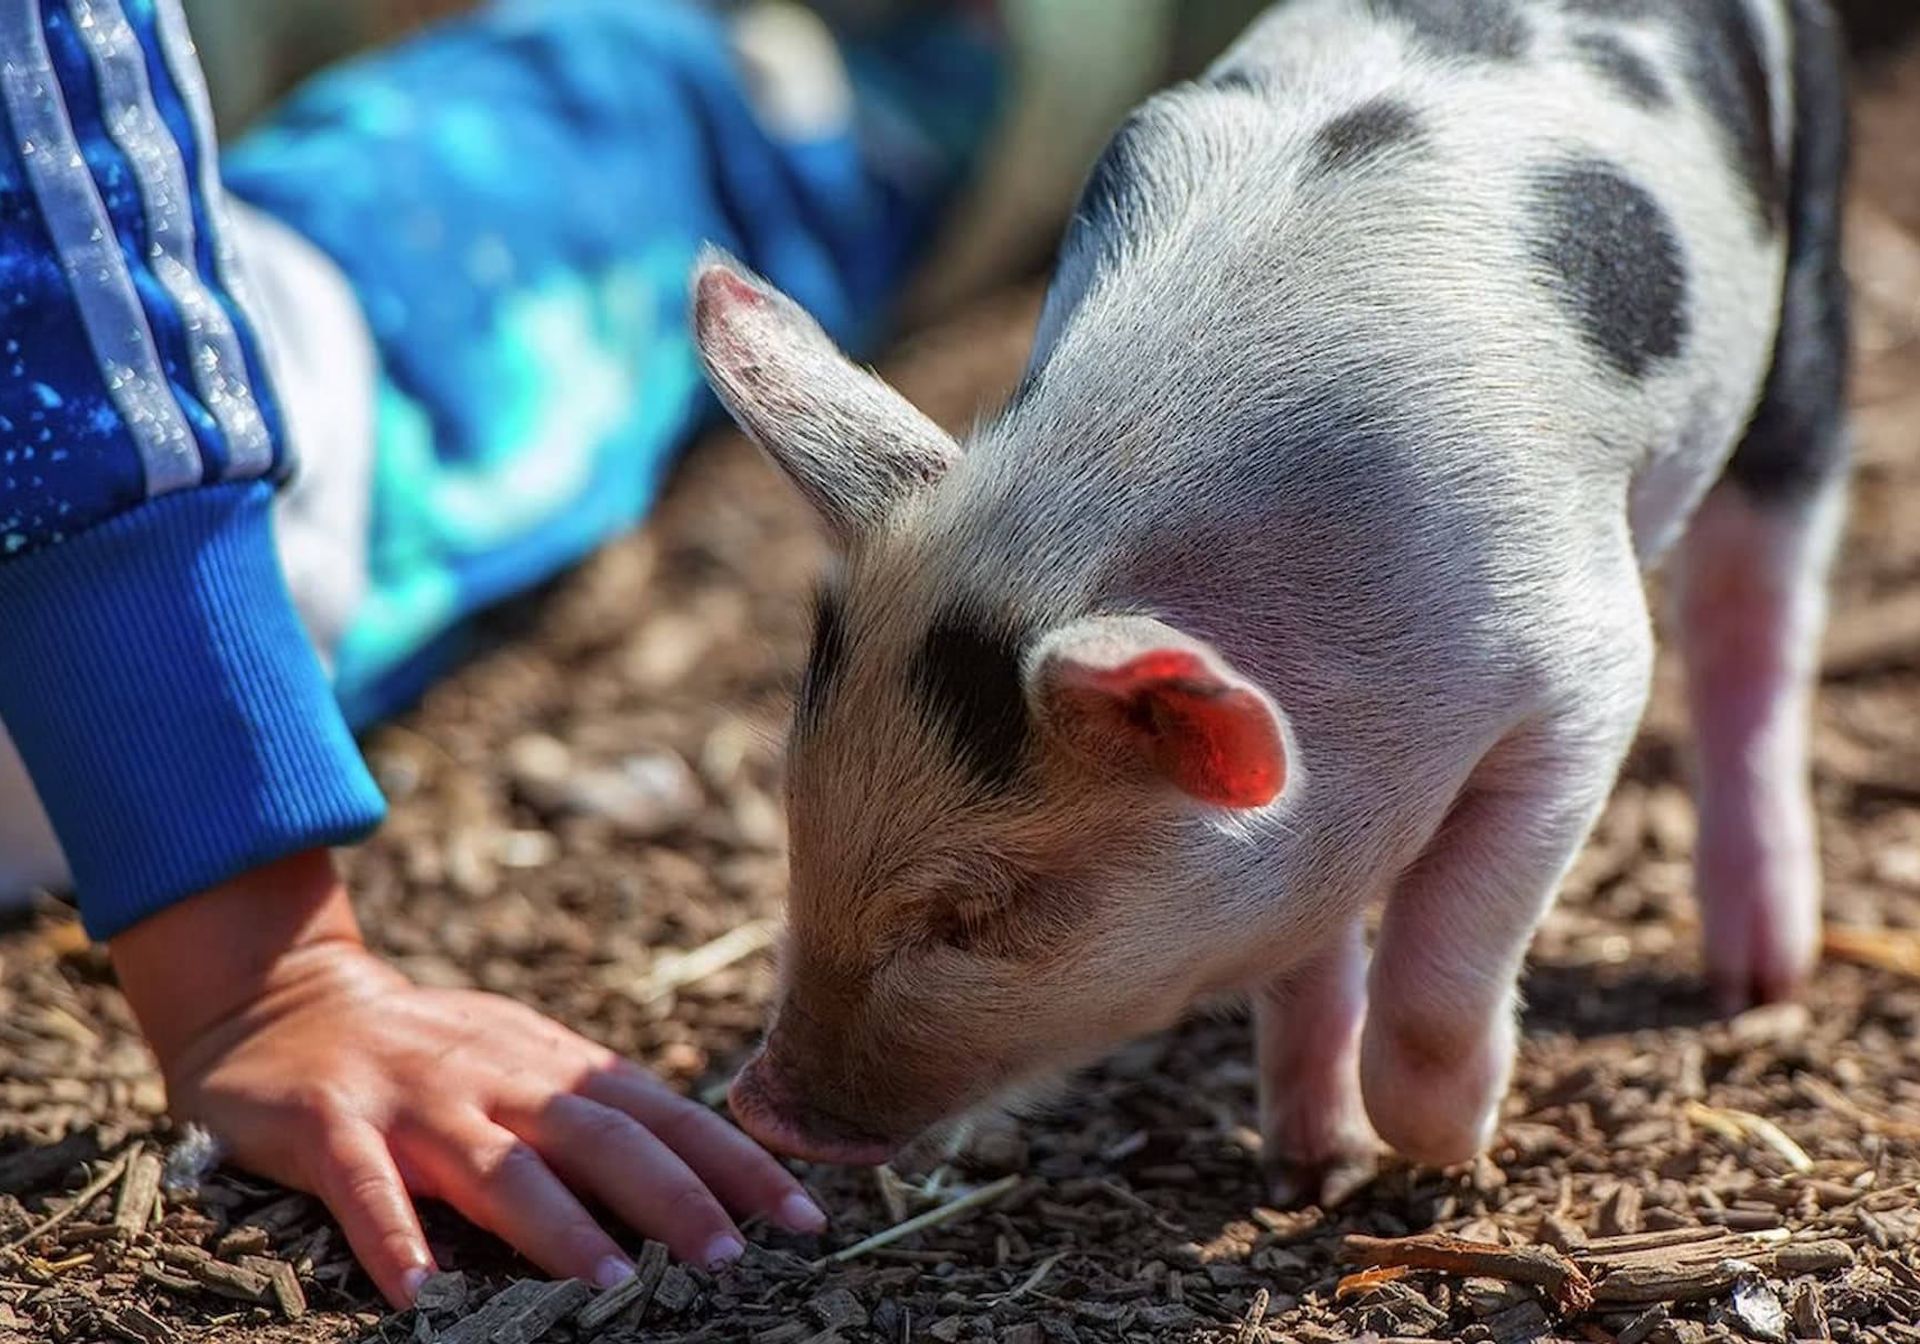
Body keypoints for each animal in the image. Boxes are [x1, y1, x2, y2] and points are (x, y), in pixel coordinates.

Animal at [696, 0, 1851, 1203]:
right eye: (794, 817)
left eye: (980, 911)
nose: (761, 1108)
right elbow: (1308, 948)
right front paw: (1313, 1165)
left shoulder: (1582, 673)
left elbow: (1446, 956)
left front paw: (1441, 1151)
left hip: (1803, 272)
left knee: (1756, 608)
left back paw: (1761, 979)